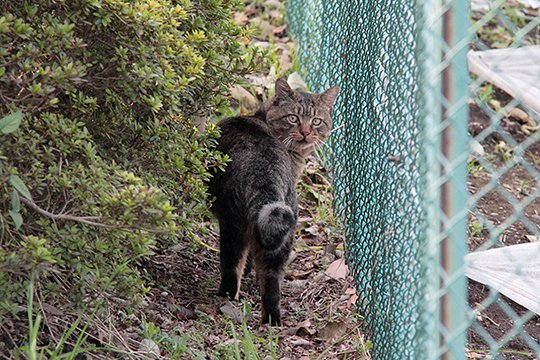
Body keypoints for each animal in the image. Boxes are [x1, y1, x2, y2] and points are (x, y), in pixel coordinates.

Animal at [209, 79, 340, 326]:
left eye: (316, 121)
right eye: (293, 118)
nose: (306, 132)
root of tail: (263, 171)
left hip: (232, 223)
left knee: (232, 264)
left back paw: (226, 296)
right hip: (285, 228)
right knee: (271, 279)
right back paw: (272, 320)